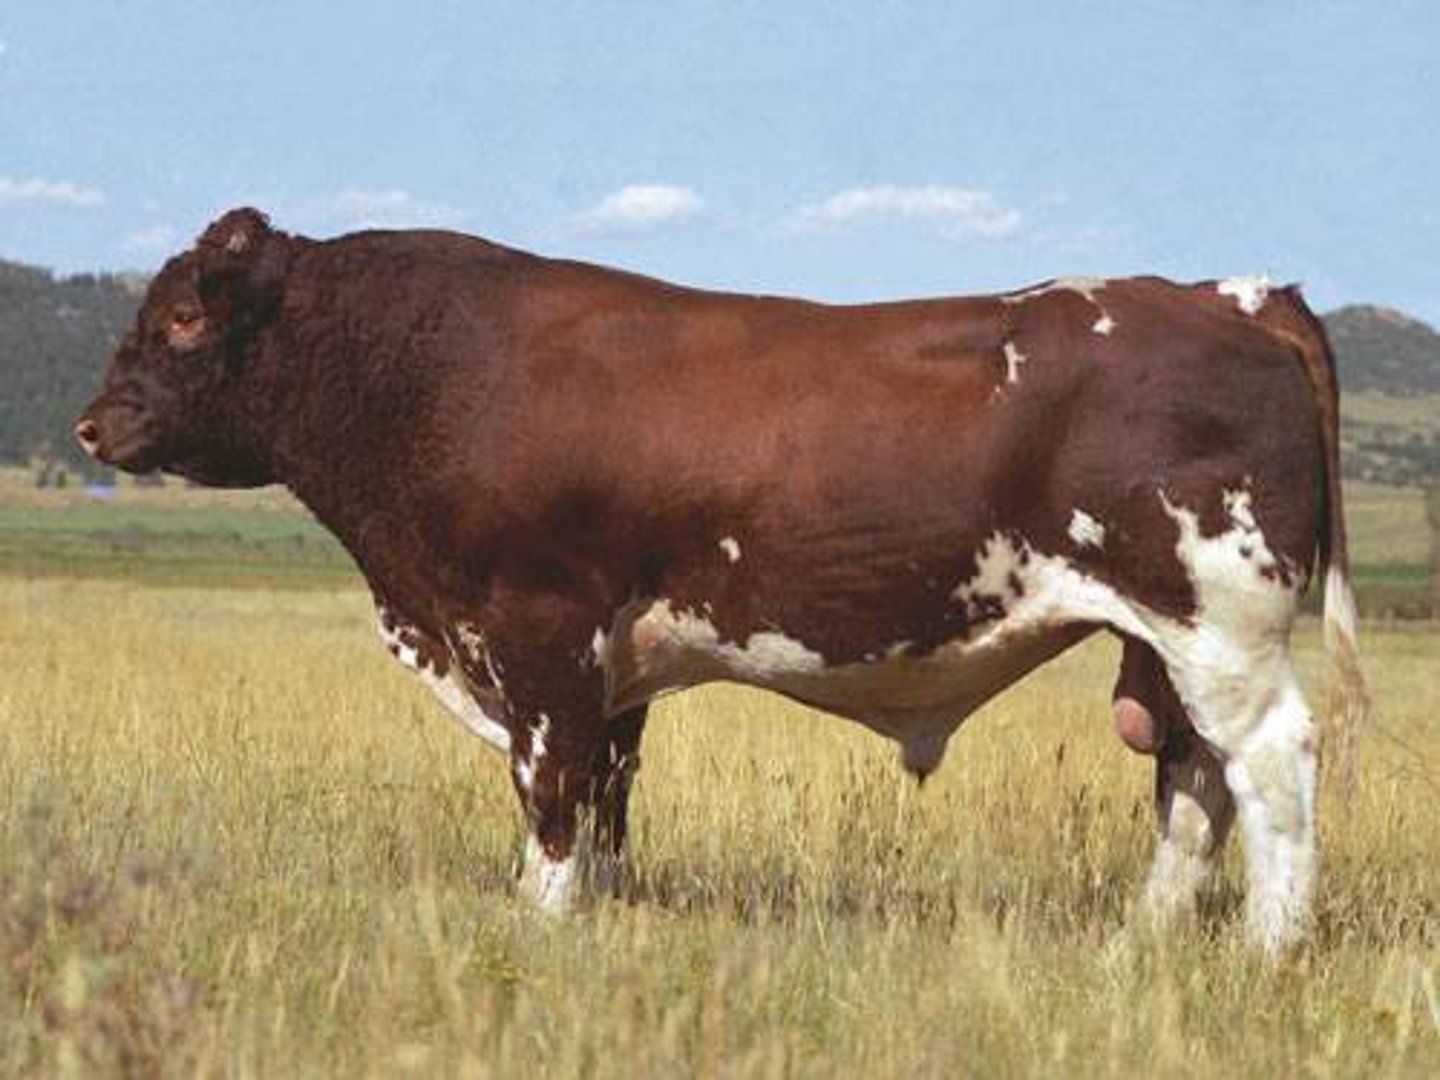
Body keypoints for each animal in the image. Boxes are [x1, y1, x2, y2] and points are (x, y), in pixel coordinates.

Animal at [76, 208, 1366, 951]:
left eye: (185, 319)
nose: (93, 424)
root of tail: (1226, 293)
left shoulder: (539, 634)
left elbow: (552, 793)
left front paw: (541, 919)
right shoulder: (609, 663)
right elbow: (607, 795)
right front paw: (595, 910)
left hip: (1221, 623)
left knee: (1269, 762)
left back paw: (1270, 945)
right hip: (1167, 639)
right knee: (1192, 780)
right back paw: (1147, 938)